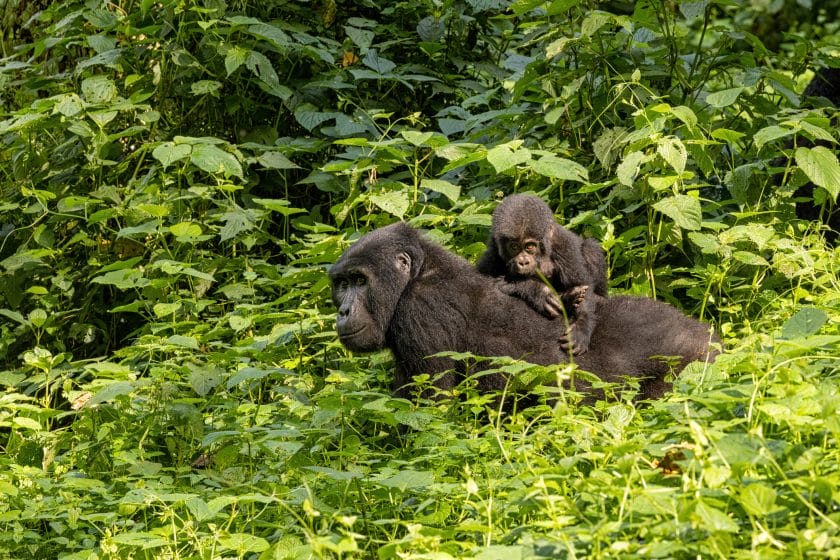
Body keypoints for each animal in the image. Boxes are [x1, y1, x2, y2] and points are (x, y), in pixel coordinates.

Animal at [332, 221, 720, 400]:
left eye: (360, 281)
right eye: (341, 284)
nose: (343, 312)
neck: (419, 273)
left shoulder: (420, 312)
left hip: (690, 360)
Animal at [476, 194, 608, 354]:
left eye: (530, 246)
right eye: (514, 247)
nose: (523, 262)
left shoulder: (562, 243)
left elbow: (581, 284)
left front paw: (582, 327)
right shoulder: (493, 252)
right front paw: (537, 291)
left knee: (590, 249)